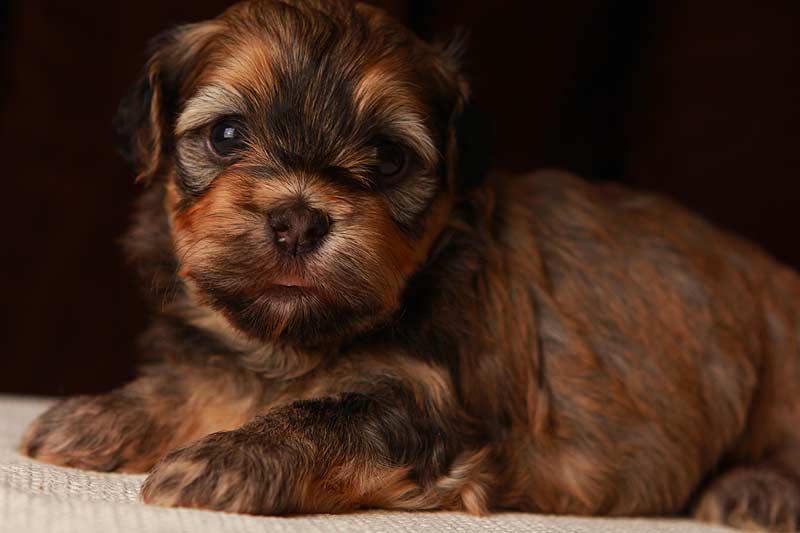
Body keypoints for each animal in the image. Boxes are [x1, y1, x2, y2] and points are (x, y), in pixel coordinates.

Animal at [17, 2, 800, 528]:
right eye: (228, 135)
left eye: (390, 158)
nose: (298, 219)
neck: (294, 344)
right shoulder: (230, 359)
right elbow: (199, 379)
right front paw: (99, 417)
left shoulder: (426, 406)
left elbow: (318, 418)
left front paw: (228, 459)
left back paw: (754, 490)